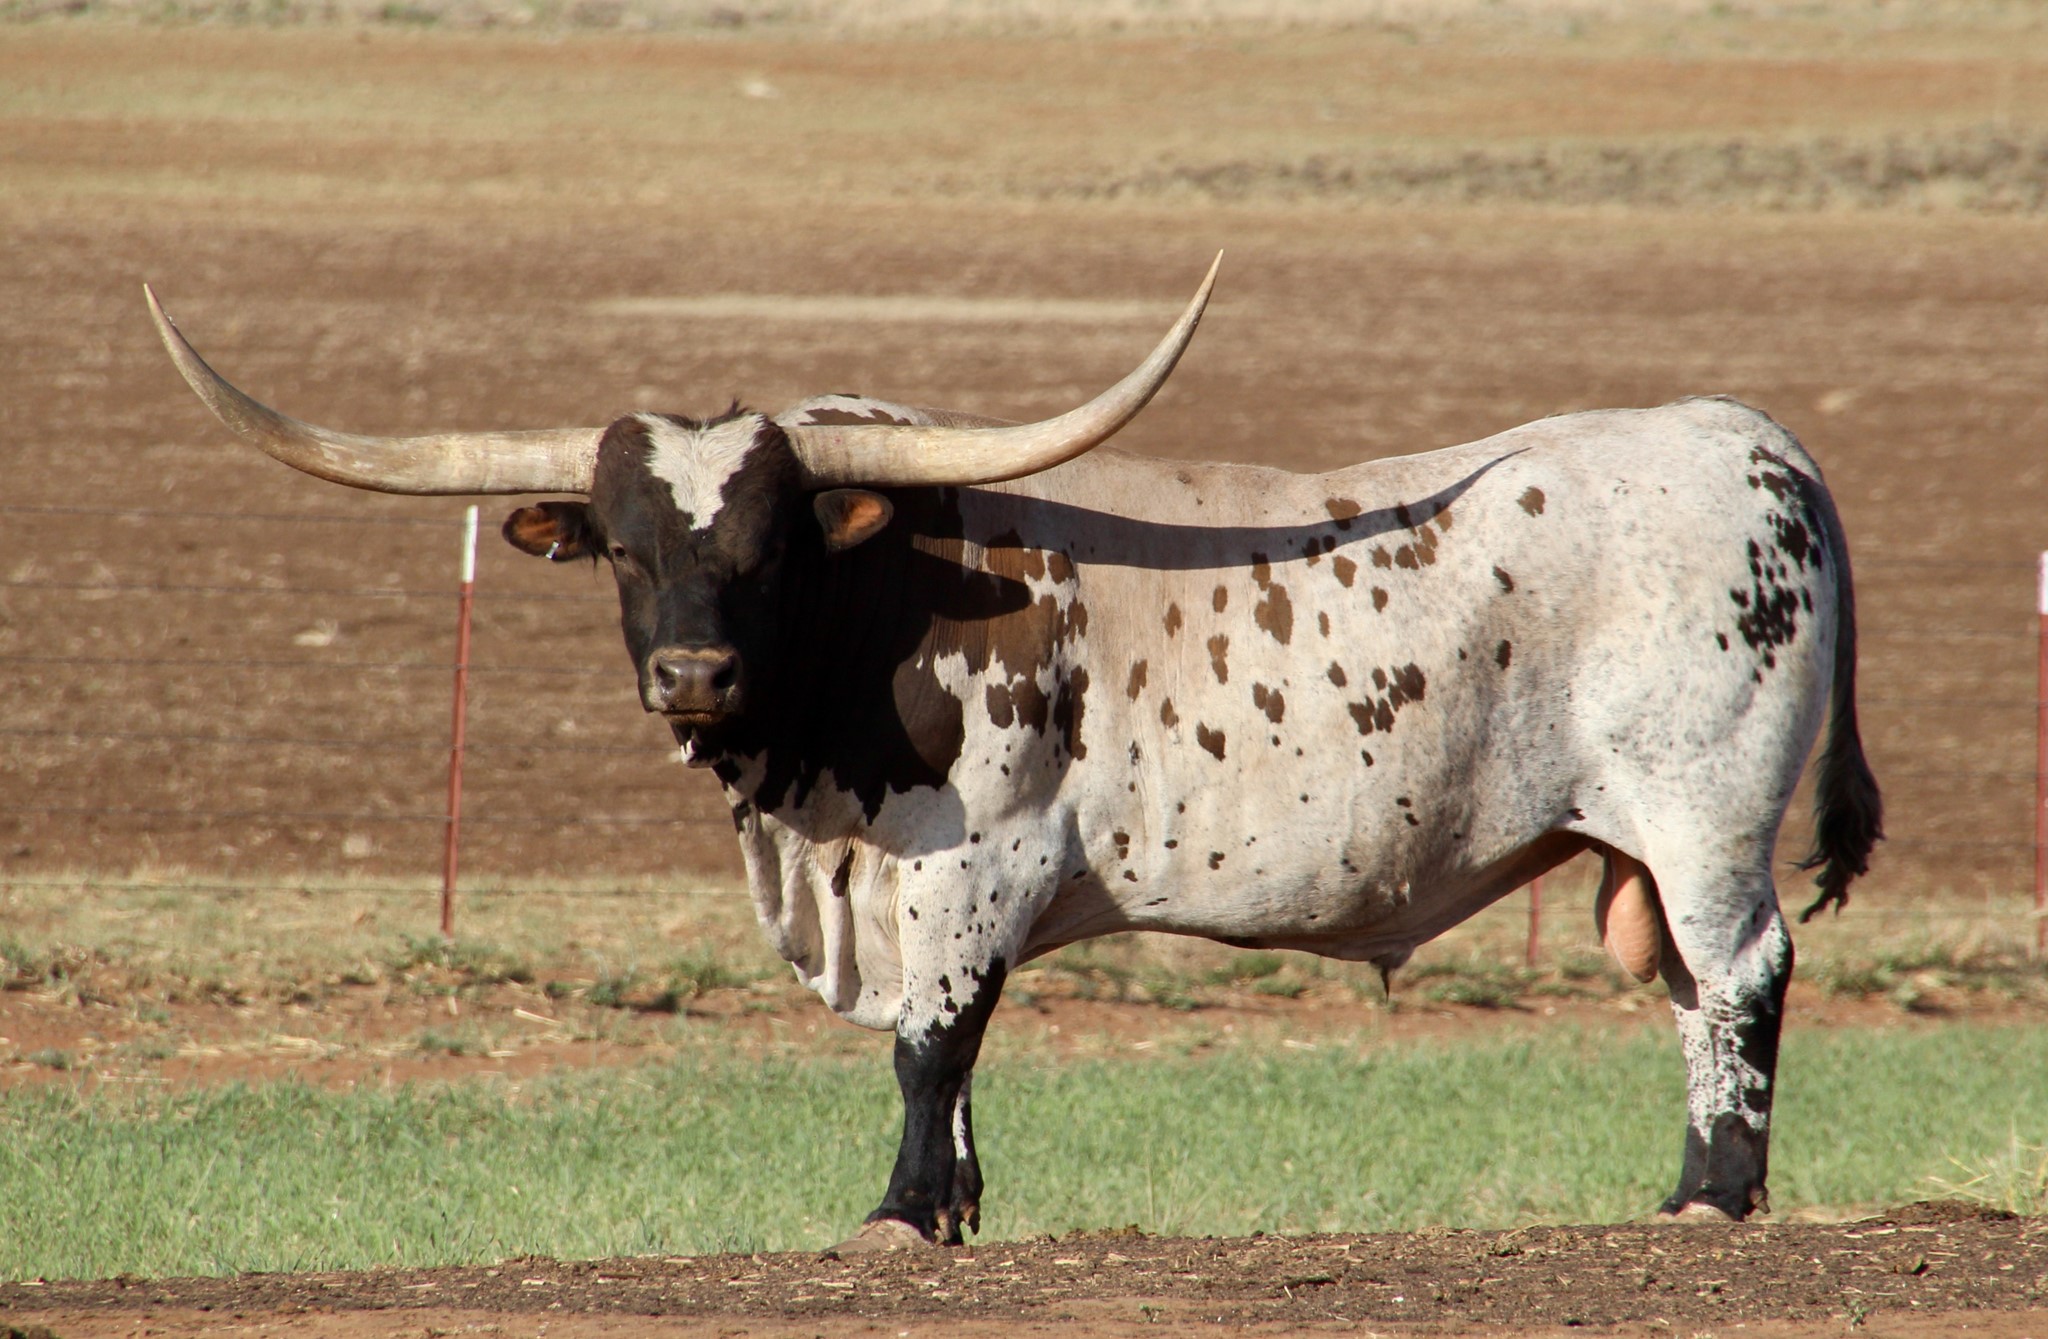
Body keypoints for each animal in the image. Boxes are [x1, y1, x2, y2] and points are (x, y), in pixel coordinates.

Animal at [145, 258, 1880, 1251]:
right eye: (627, 547)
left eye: (773, 542)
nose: (692, 670)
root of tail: (1748, 438)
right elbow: (954, 1050)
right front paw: (959, 1205)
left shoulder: (976, 859)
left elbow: (933, 1039)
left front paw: (900, 1215)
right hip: (1643, 842)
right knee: (1691, 990)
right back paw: (1693, 1186)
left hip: (1707, 815)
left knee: (1743, 975)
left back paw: (1716, 1196)